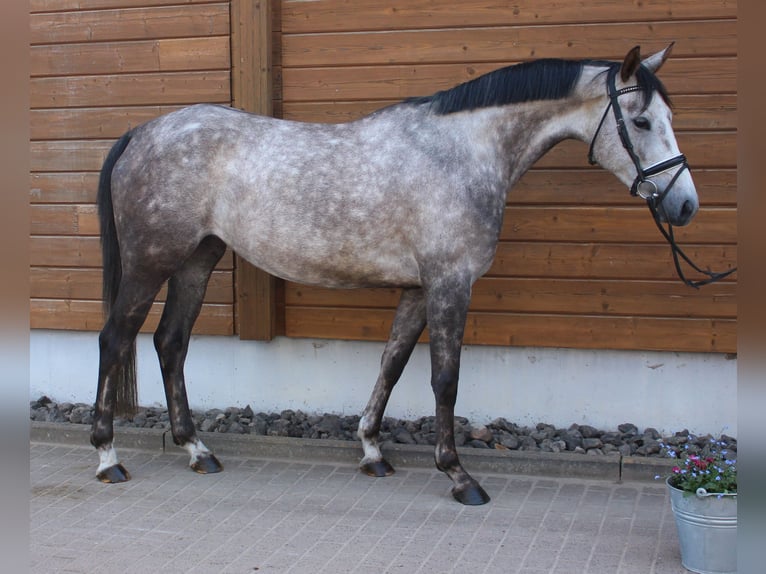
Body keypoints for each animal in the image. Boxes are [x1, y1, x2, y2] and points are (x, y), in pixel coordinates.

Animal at [93, 44, 700, 504]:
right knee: (116, 340)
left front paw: (372, 452)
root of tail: (142, 131)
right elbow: (445, 379)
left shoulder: (416, 289)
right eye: (641, 121)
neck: (460, 153)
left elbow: (392, 363)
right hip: (150, 263)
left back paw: (198, 450)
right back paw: (107, 458)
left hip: (197, 260)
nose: (685, 205)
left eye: (671, 119)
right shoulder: (451, 284)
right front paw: (458, 476)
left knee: (171, 342)